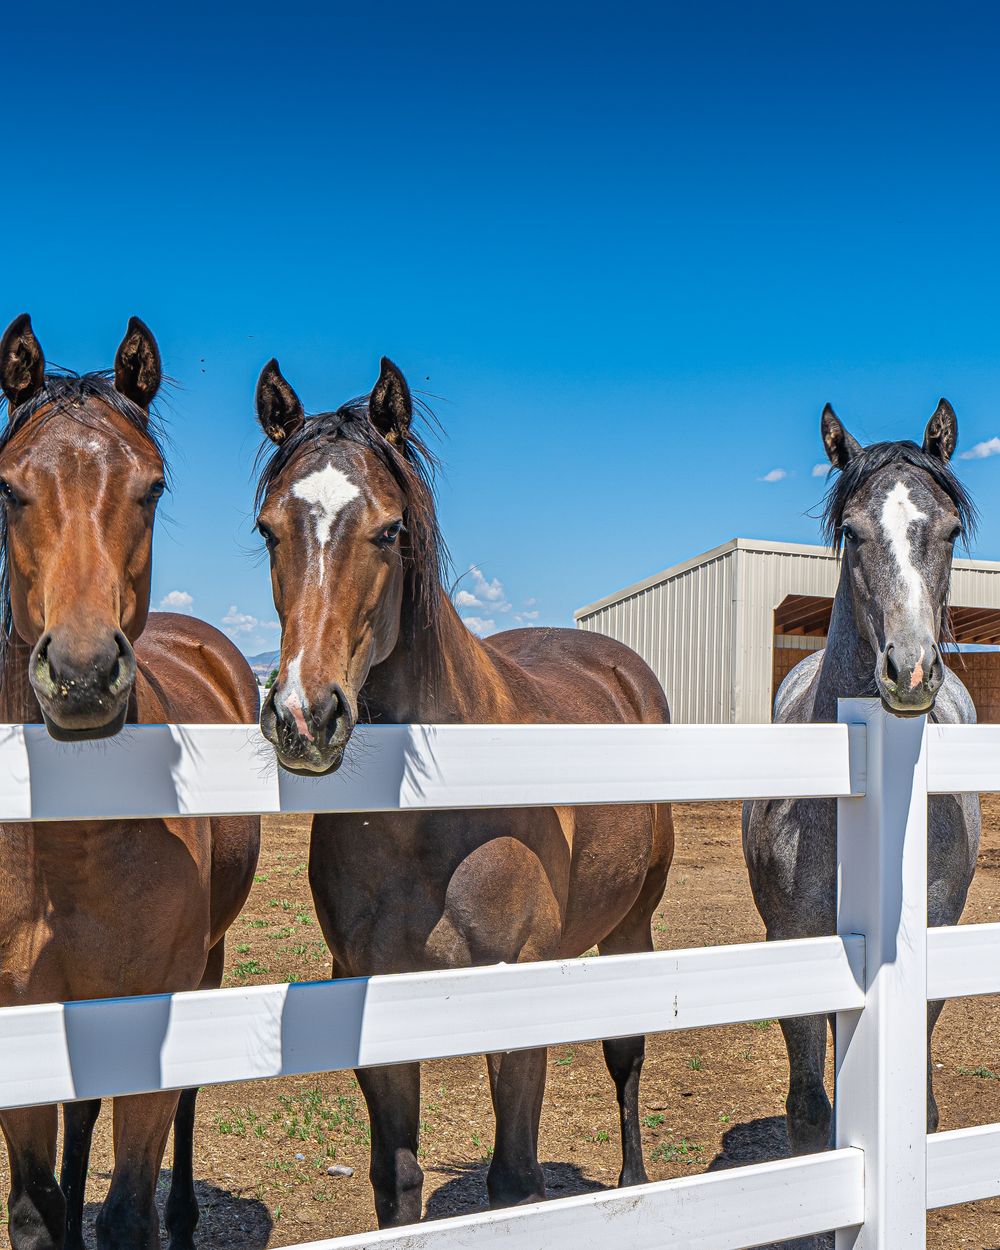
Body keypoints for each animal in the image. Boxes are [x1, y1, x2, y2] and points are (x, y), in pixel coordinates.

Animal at [0, 315, 261, 1250]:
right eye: (9, 489)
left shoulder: (157, 1001)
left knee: (182, 1102)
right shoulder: (22, 1018)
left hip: (207, 962)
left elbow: (128, 1212)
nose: (80, 677)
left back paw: (183, 1217)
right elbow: (35, 1208)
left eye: (151, 488)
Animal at [251, 354, 675, 1226]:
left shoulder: (512, 995)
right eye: (269, 529)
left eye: (389, 530)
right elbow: (396, 1181)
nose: (305, 715)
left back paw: (634, 1183)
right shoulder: (374, 995)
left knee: (625, 1057)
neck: (430, 821)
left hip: (632, 924)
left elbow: (514, 1181)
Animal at [743, 400, 981, 1155]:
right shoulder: (794, 944)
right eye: (851, 531)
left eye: (951, 528)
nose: (910, 668)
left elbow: (919, 1109)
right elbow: (808, 1113)